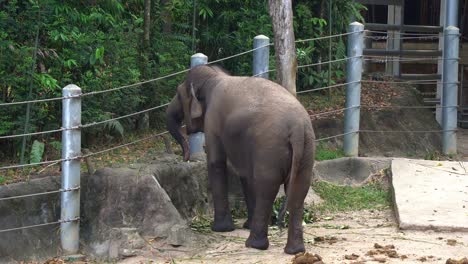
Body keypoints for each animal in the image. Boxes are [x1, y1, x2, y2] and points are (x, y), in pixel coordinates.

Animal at [165, 65, 314, 255]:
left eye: (178, 94)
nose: (185, 158)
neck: (215, 76)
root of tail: (297, 128)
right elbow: (245, 174)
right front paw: (244, 225)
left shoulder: (213, 119)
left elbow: (216, 163)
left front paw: (220, 229)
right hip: (307, 150)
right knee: (298, 190)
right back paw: (295, 251)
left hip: (269, 147)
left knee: (267, 187)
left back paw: (254, 244)